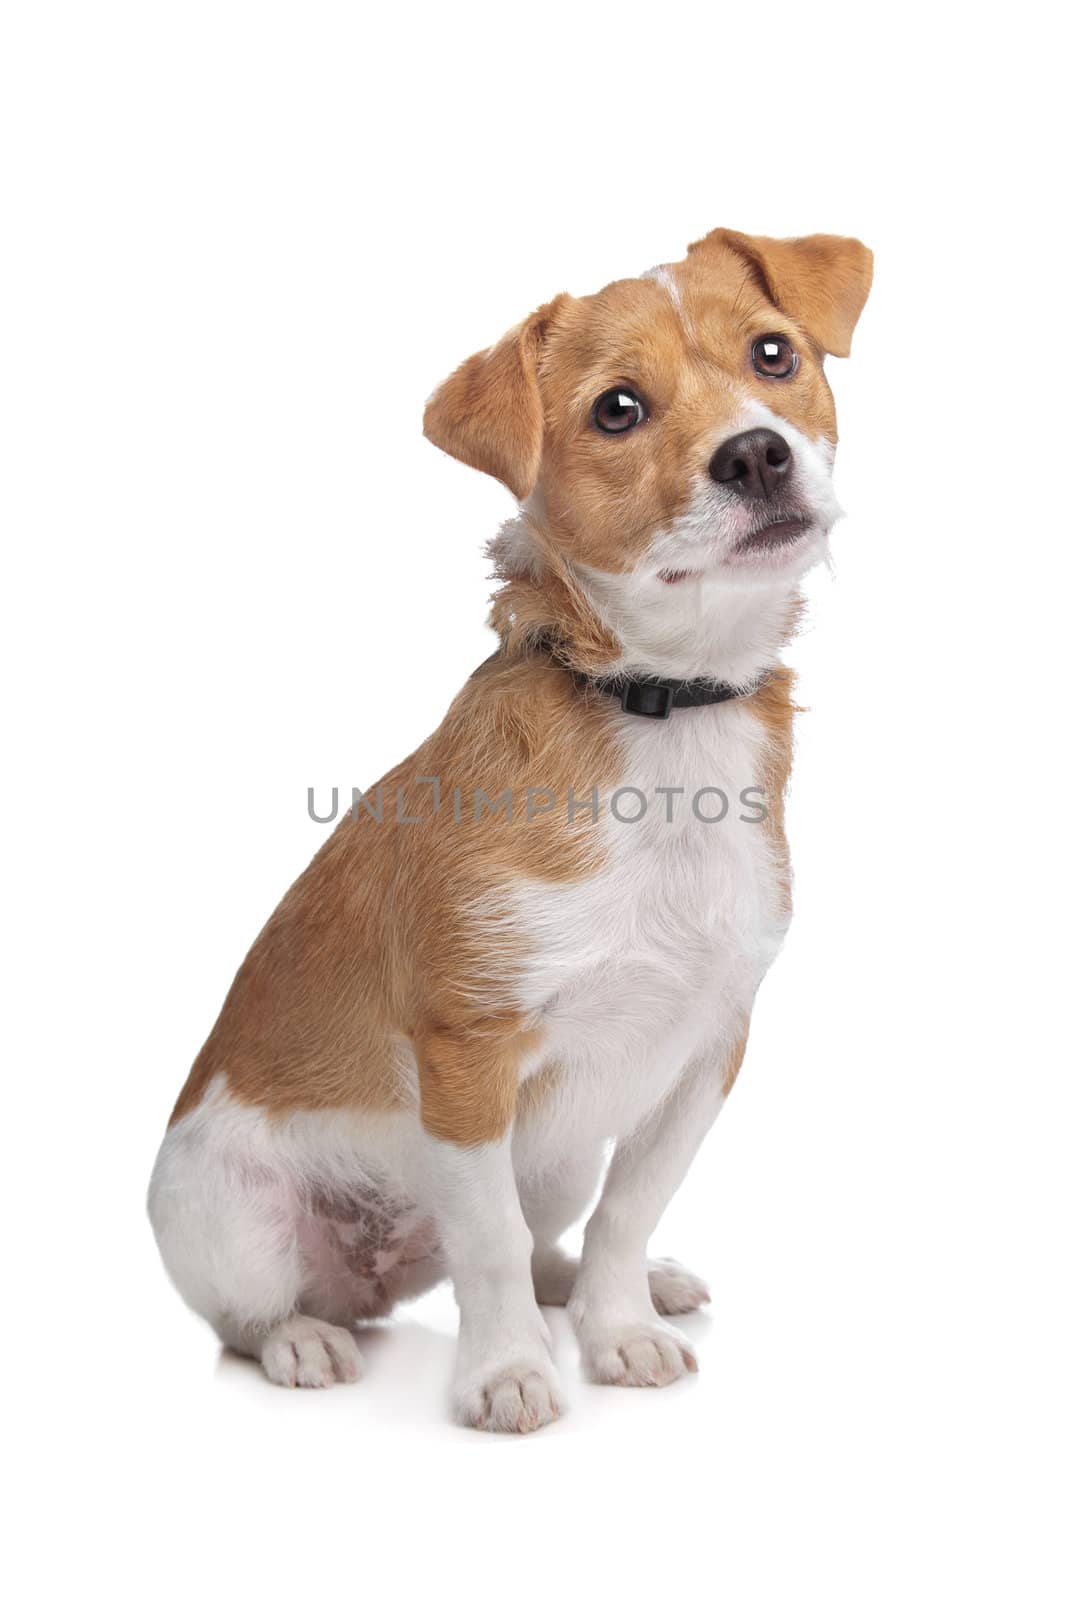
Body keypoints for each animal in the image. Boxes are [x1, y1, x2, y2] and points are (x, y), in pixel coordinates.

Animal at [146, 228, 870, 1440]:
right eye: (617, 409)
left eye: (773, 354)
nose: (757, 455)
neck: (660, 714)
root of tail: (375, 1276)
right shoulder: (468, 1055)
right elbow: (483, 1244)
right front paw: (506, 1374)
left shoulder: (704, 1051)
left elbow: (625, 1209)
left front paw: (619, 1327)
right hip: (223, 1213)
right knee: (258, 1312)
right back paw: (305, 1340)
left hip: (558, 1158)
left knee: (543, 1243)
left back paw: (593, 1290)